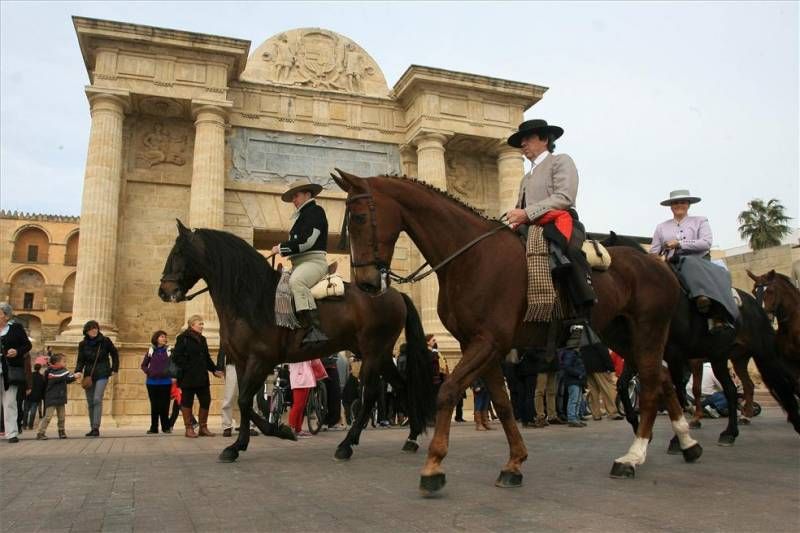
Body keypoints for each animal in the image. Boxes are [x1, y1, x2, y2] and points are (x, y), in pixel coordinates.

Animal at [155, 220, 432, 462]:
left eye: (178, 252)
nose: (164, 291)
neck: (252, 299)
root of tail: (395, 293)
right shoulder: (243, 363)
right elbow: (246, 403)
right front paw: (243, 443)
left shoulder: (260, 361)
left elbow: (245, 401)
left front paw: (272, 433)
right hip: (380, 354)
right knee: (402, 385)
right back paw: (411, 438)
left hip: (374, 352)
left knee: (372, 394)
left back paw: (347, 445)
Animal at [328, 171, 704, 494]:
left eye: (358, 218)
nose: (366, 285)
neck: (471, 257)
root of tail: (659, 261)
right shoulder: (482, 344)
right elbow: (503, 402)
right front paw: (514, 464)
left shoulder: (487, 341)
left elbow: (447, 391)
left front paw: (434, 466)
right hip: (620, 334)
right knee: (663, 377)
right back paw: (687, 443)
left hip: (648, 328)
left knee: (652, 383)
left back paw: (633, 456)